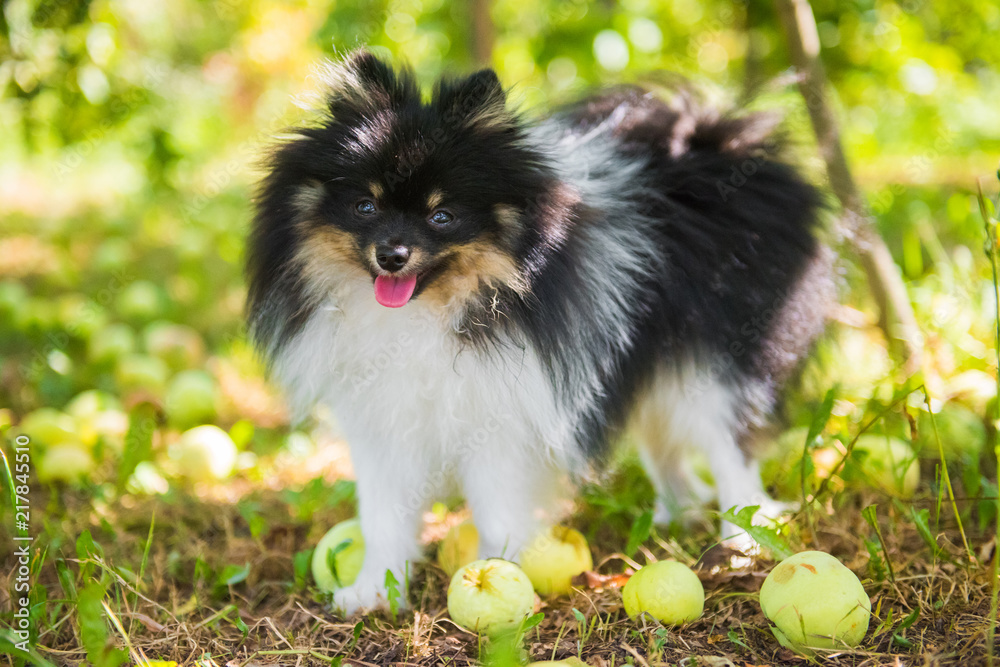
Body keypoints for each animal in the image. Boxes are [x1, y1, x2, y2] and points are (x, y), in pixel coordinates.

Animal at [246, 51, 832, 616]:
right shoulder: (382, 421)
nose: (391, 254)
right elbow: (383, 518)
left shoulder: (498, 421)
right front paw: (374, 592)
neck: (429, 312)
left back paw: (740, 544)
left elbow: (497, 513)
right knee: (662, 440)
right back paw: (677, 513)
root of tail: (717, 139)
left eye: (442, 216)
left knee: (731, 453)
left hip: (715, 364)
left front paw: (498, 580)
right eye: (364, 206)